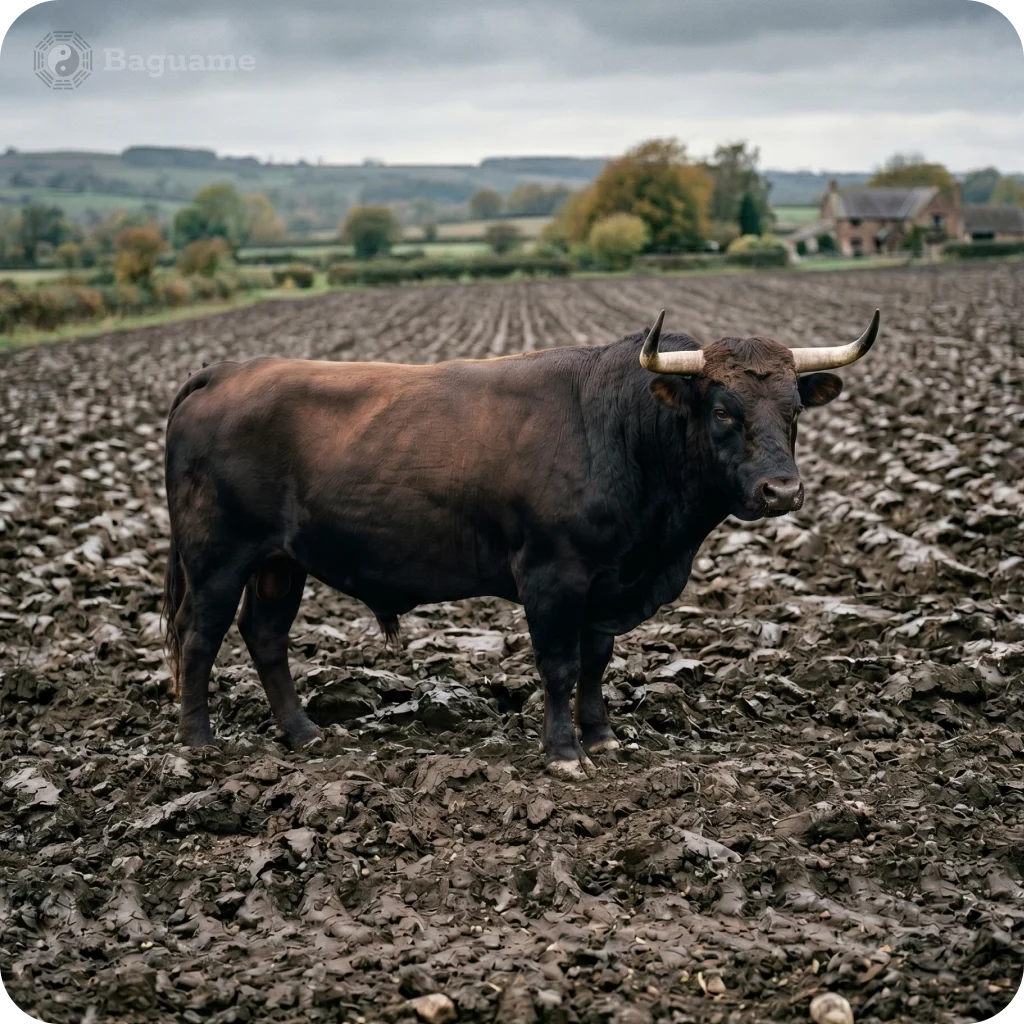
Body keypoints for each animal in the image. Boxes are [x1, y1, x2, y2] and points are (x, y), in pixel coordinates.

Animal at [162, 308, 880, 780]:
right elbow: (559, 665)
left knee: (265, 635)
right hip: (217, 556)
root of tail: (226, 372)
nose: (782, 492)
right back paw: (200, 742)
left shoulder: (604, 585)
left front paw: (602, 736)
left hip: (279, 562)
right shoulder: (553, 576)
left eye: (793, 410)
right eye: (725, 410)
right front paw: (564, 753)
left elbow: (595, 663)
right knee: (199, 638)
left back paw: (304, 733)